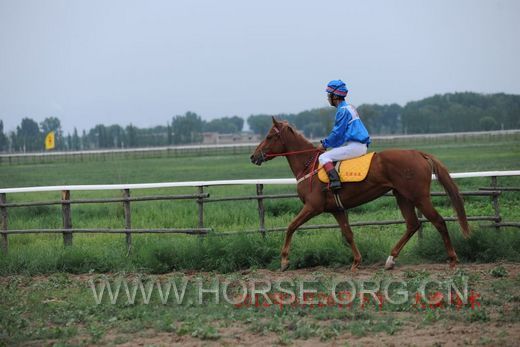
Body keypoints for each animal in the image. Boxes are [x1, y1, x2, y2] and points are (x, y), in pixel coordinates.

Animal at [251, 118, 472, 274]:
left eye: (269, 136)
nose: (253, 156)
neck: (309, 166)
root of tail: (418, 153)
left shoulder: (313, 207)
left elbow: (291, 227)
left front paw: (284, 261)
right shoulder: (337, 210)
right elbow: (348, 234)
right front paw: (356, 262)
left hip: (419, 197)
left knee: (438, 221)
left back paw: (452, 260)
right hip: (402, 196)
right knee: (412, 224)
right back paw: (390, 260)